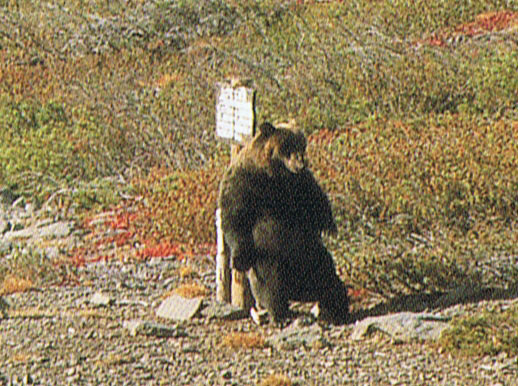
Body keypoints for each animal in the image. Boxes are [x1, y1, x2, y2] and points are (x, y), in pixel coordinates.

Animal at [217, 122, 352, 324]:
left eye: (301, 145)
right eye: (288, 147)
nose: (301, 163)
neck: (274, 174)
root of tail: (299, 291)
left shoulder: (297, 184)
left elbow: (316, 202)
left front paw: (330, 226)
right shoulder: (245, 184)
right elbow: (235, 219)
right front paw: (238, 260)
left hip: (315, 256)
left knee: (329, 281)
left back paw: (337, 311)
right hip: (272, 260)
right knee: (272, 286)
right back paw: (280, 314)